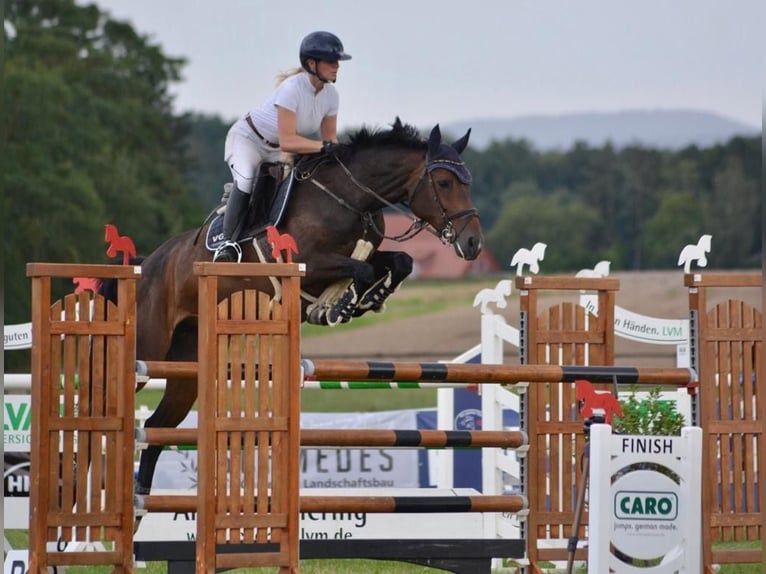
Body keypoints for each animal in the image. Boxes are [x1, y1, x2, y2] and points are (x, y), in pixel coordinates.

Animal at [122, 118, 484, 496]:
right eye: (443, 182)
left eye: (467, 182)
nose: (473, 242)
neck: (351, 199)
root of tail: (147, 265)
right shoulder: (306, 263)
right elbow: (361, 269)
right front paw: (338, 306)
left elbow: (399, 261)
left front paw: (368, 297)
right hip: (148, 350)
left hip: (187, 365)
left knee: (157, 427)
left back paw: (140, 497)